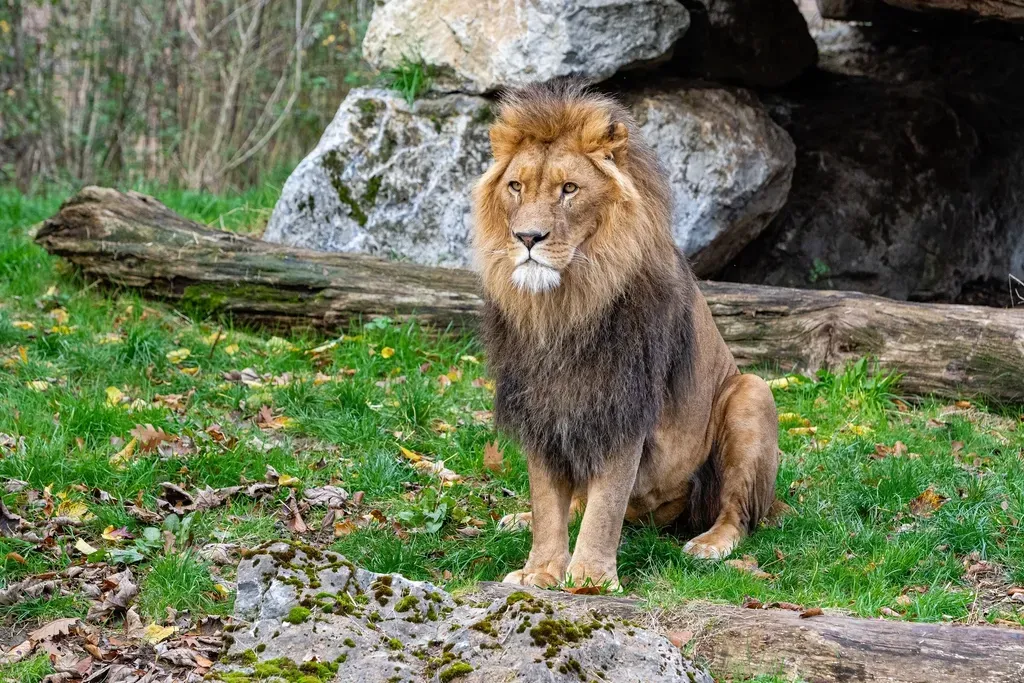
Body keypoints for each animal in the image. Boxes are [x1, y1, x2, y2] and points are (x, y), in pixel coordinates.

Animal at [471, 81, 780, 590]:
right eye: (516, 186)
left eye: (569, 189)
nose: (527, 238)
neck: (564, 307)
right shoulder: (542, 407)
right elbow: (547, 500)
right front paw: (540, 571)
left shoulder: (622, 405)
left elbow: (606, 507)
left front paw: (590, 581)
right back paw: (520, 518)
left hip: (751, 392)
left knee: (738, 513)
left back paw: (709, 545)